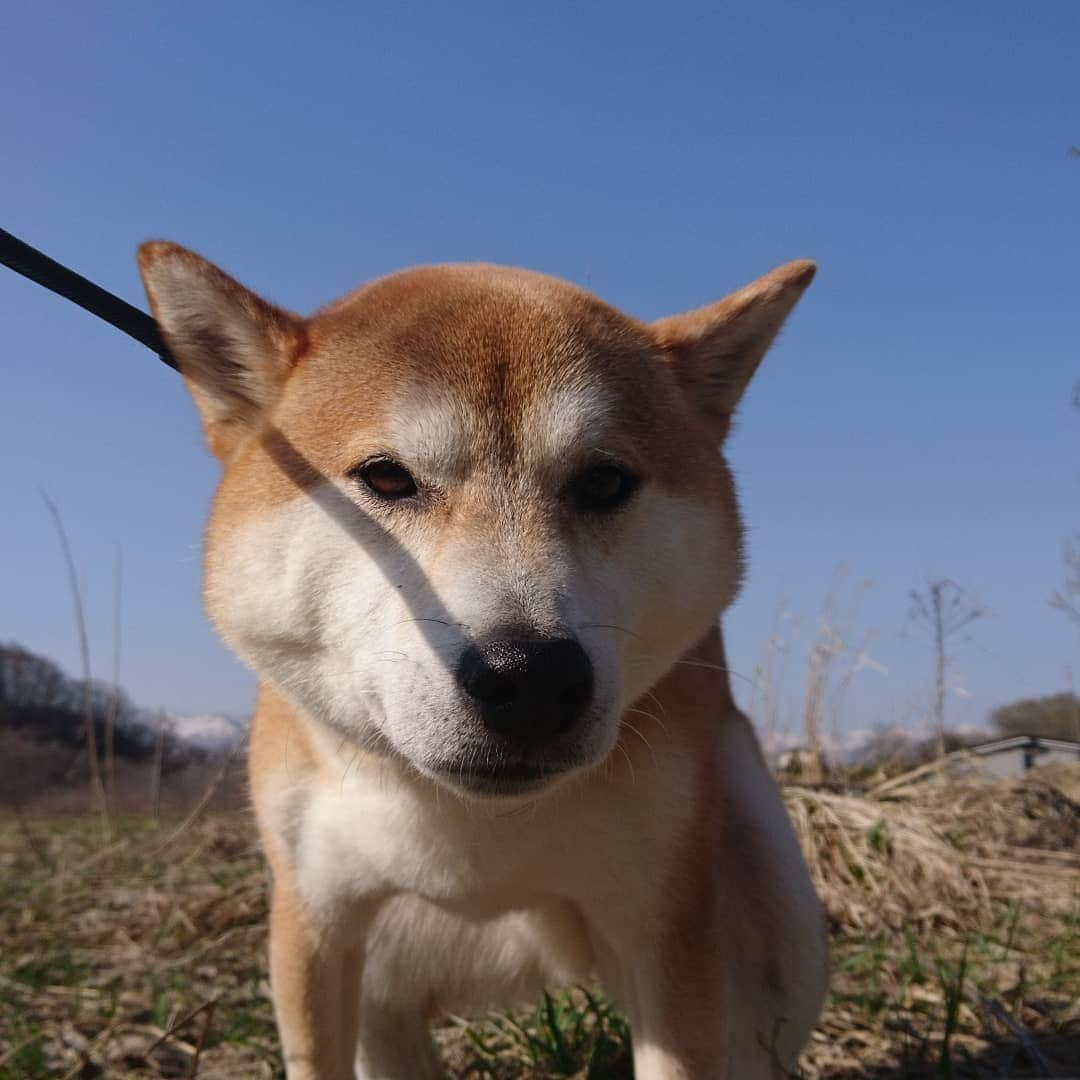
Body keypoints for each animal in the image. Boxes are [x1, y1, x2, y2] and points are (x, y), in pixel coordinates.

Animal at [137, 245, 825, 1080]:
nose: (531, 679)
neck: (472, 827)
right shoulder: (312, 921)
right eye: (386, 476)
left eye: (604, 481)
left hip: (782, 940)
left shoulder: (666, 926)